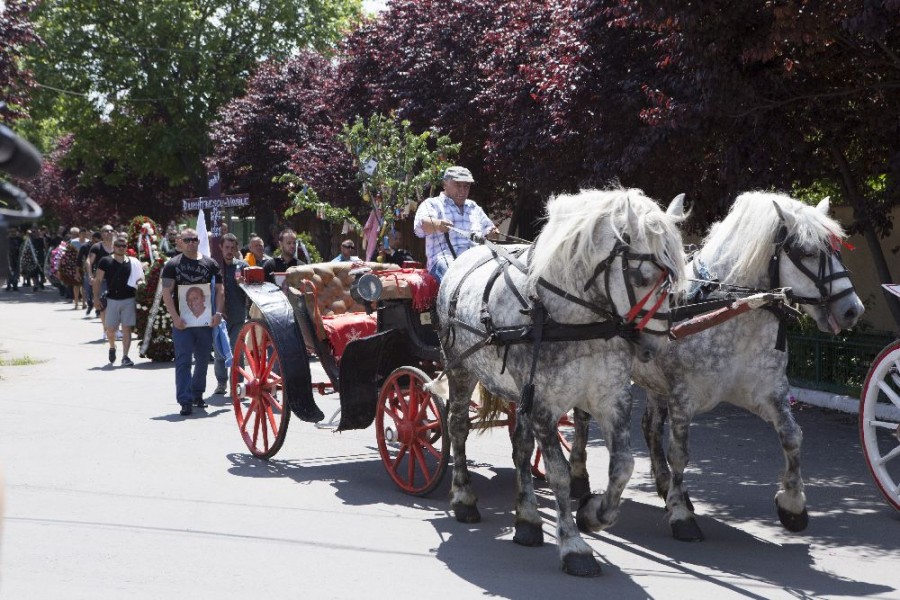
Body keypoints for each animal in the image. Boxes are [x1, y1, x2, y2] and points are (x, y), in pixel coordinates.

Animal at [434, 189, 684, 576]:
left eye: (673, 279)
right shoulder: (544, 406)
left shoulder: (611, 399)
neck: (571, 318)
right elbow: (559, 473)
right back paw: (463, 497)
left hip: (518, 391)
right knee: (457, 426)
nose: (658, 346)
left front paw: (594, 514)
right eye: (642, 276)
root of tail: (465, 257)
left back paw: (527, 519)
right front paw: (574, 546)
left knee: (520, 448)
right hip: (461, 371)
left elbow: (622, 466)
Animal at [620, 195, 864, 540]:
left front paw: (793, 504)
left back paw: (664, 485)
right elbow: (679, 453)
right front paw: (680, 514)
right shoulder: (682, 396)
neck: (729, 307)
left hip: (655, 385)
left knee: (650, 427)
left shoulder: (769, 393)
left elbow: (792, 436)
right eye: (807, 252)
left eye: (837, 249)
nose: (852, 310)